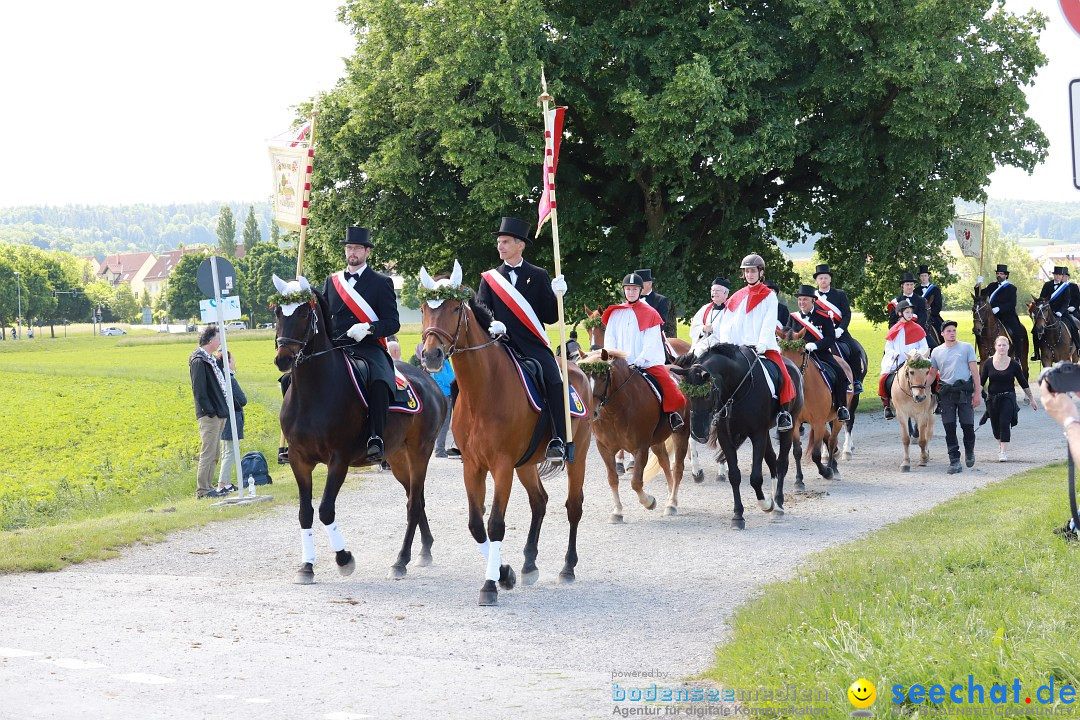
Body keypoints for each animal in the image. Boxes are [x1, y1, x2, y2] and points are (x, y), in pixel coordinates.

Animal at [272, 276, 444, 587]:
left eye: (303, 313)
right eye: (278, 312)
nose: (284, 359)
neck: (313, 393)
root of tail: (431, 383)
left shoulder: (338, 460)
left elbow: (326, 509)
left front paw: (344, 559)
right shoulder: (299, 461)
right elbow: (305, 513)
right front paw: (307, 566)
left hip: (420, 452)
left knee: (414, 504)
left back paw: (401, 560)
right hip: (398, 459)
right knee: (416, 498)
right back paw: (424, 550)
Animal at [416, 262, 596, 604]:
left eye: (454, 306)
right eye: (423, 309)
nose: (431, 356)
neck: (483, 388)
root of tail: (578, 370)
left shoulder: (501, 466)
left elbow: (495, 524)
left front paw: (490, 585)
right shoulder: (473, 466)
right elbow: (477, 525)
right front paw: (505, 573)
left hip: (576, 456)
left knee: (574, 506)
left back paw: (568, 567)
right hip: (525, 464)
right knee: (539, 501)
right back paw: (529, 565)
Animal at [578, 347, 686, 520]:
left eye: (603, 377)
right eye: (584, 376)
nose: (592, 411)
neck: (614, 411)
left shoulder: (640, 448)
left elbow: (636, 482)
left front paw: (649, 501)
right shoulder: (604, 448)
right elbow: (612, 479)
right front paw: (617, 511)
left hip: (681, 433)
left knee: (677, 468)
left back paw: (672, 503)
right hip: (657, 441)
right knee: (664, 462)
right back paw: (670, 496)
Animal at [669, 343, 807, 528]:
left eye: (707, 394)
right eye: (687, 394)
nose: (697, 433)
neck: (737, 388)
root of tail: (794, 367)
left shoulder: (758, 434)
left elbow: (756, 477)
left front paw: (765, 504)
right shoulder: (725, 436)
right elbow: (734, 475)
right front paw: (738, 516)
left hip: (788, 426)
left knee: (782, 462)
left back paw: (777, 505)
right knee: (772, 460)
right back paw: (772, 500)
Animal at [781, 328, 846, 490]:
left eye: (801, 352)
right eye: (781, 351)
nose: (791, 376)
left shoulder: (818, 422)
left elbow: (816, 454)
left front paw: (826, 472)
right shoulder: (796, 423)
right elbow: (797, 452)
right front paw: (799, 481)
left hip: (837, 419)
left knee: (832, 441)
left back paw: (833, 469)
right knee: (828, 439)